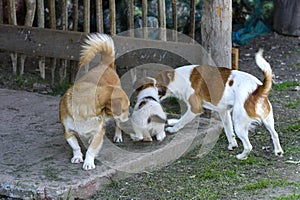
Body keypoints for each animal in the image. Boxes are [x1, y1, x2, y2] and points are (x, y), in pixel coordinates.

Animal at [59, 33, 129, 170]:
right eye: (125, 109)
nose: (128, 115)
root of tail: (105, 64)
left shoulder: (98, 132)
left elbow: (91, 149)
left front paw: (88, 162)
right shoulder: (68, 131)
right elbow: (75, 146)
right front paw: (77, 157)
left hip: (117, 122)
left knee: (118, 125)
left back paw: (118, 136)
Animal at [156, 48, 284, 159]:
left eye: (155, 85)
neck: (178, 79)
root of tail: (258, 89)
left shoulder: (194, 109)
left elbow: (182, 120)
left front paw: (173, 129)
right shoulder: (224, 111)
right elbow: (228, 130)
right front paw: (232, 144)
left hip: (239, 123)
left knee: (248, 146)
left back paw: (241, 156)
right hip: (267, 120)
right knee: (275, 134)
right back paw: (278, 151)